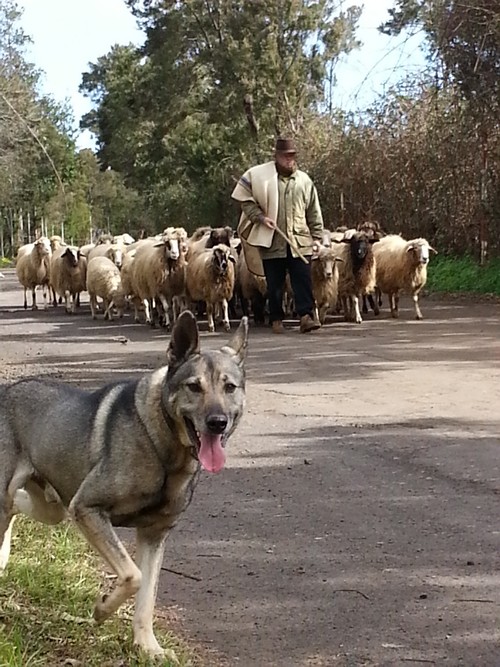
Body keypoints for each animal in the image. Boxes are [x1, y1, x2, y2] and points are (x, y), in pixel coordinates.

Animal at [0, 310, 248, 659]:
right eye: (193, 387)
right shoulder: (87, 508)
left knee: (17, 507)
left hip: (51, 508)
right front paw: (103, 608)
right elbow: (133, 576)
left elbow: (147, 596)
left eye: (229, 387)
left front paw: (148, 648)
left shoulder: (154, 535)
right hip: (39, 502)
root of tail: (6, 390)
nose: (217, 423)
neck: (163, 446)